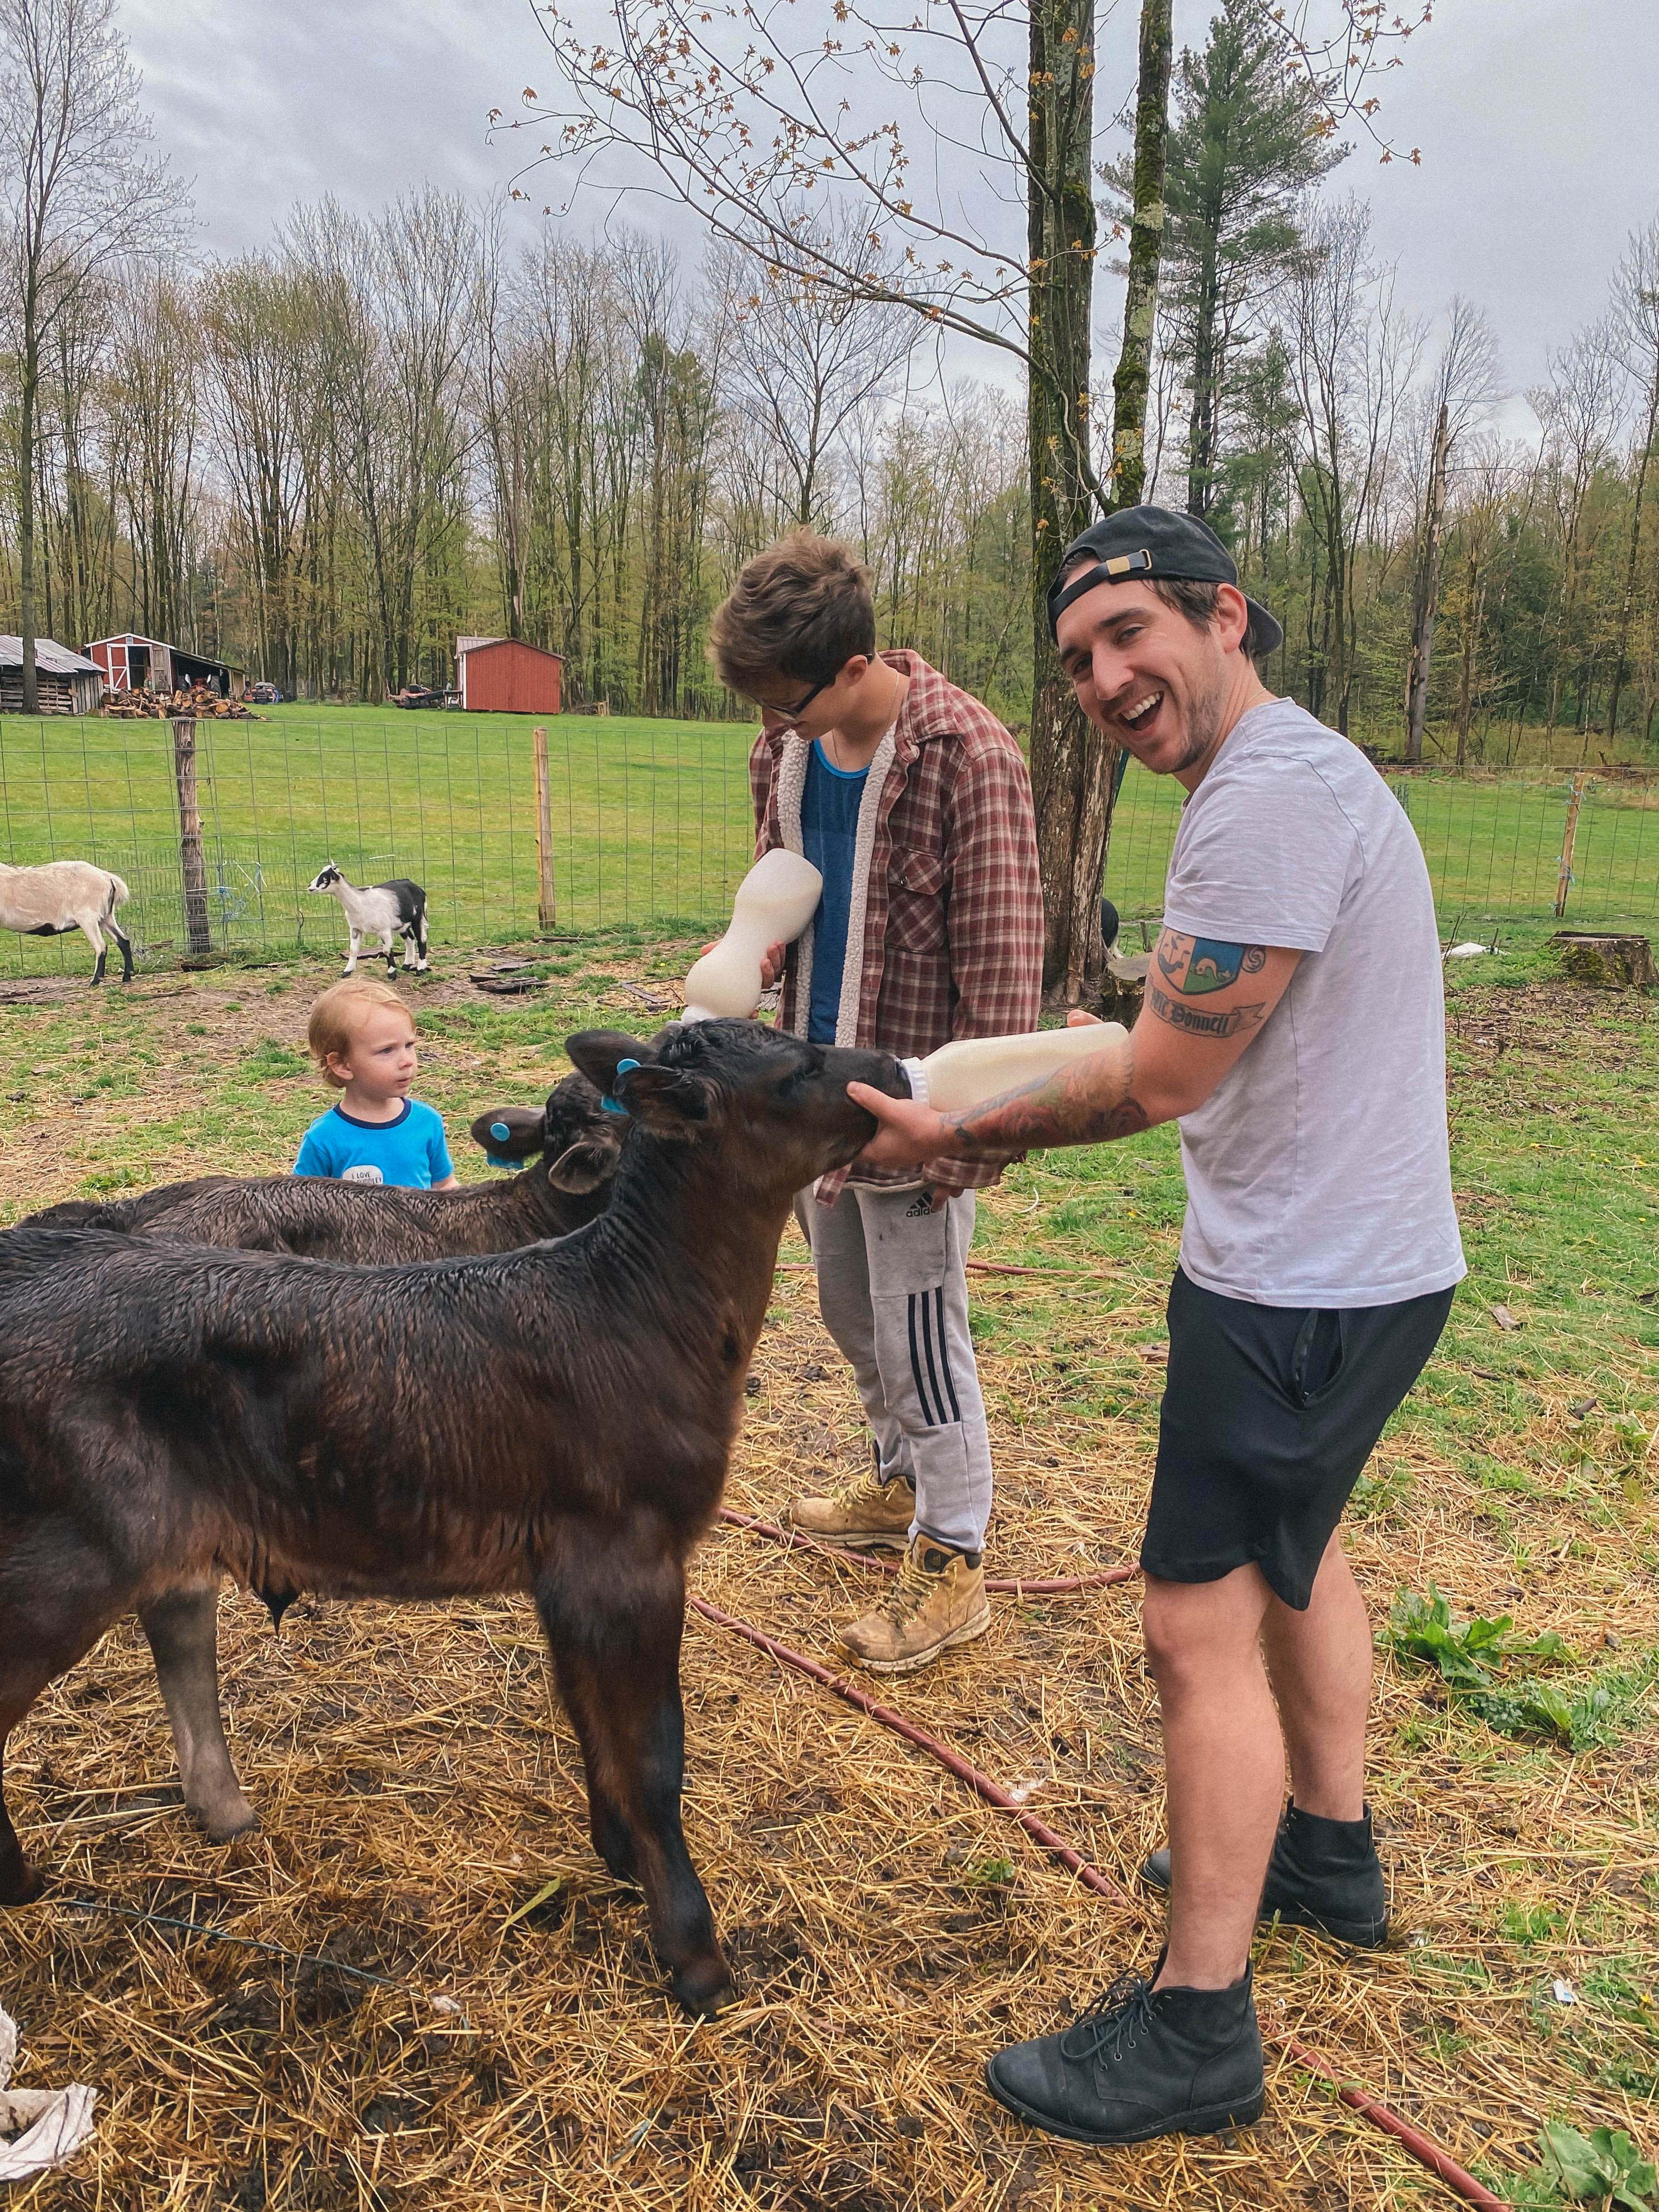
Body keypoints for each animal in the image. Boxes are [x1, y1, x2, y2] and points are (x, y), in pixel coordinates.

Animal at [0, 858, 135, 982]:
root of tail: (108, 878)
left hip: (88, 916)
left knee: (101, 946)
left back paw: (95, 981)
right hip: (106, 916)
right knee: (123, 940)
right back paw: (127, 976)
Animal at [307, 858, 429, 973]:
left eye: (325, 878)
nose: (310, 887)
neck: (360, 903)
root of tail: (417, 887)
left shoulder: (384, 929)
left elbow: (387, 950)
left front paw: (392, 973)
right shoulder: (355, 928)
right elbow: (353, 950)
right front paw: (347, 972)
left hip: (418, 917)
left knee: (421, 940)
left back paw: (420, 969)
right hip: (401, 923)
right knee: (410, 940)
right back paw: (407, 965)